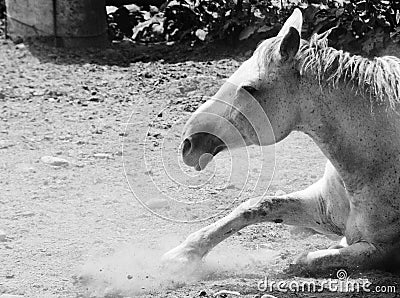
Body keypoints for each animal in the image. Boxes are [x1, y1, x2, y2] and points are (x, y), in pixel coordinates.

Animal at [162, 8, 400, 272]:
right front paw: (182, 254)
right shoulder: (321, 207)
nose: (188, 142)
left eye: (250, 89)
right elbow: (257, 206)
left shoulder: (380, 250)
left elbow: (309, 259)